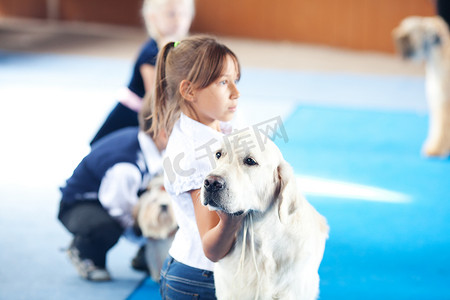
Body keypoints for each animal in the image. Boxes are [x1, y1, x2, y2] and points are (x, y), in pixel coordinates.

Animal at [392, 15, 450, 157]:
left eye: (410, 32)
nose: (395, 36)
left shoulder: (444, 103)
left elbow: (443, 128)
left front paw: (436, 149)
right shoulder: (437, 102)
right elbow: (437, 128)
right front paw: (433, 145)